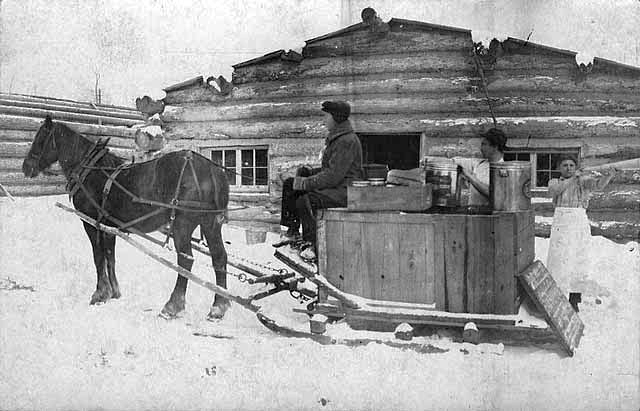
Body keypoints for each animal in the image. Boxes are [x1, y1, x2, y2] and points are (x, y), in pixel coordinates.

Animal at [23, 116, 232, 322]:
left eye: (40, 139)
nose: (26, 167)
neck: (91, 171)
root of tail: (212, 171)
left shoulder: (91, 223)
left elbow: (98, 257)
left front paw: (99, 294)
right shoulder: (109, 226)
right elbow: (110, 257)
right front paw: (114, 292)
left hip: (183, 225)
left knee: (185, 261)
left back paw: (172, 306)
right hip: (210, 224)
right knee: (219, 257)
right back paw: (218, 307)